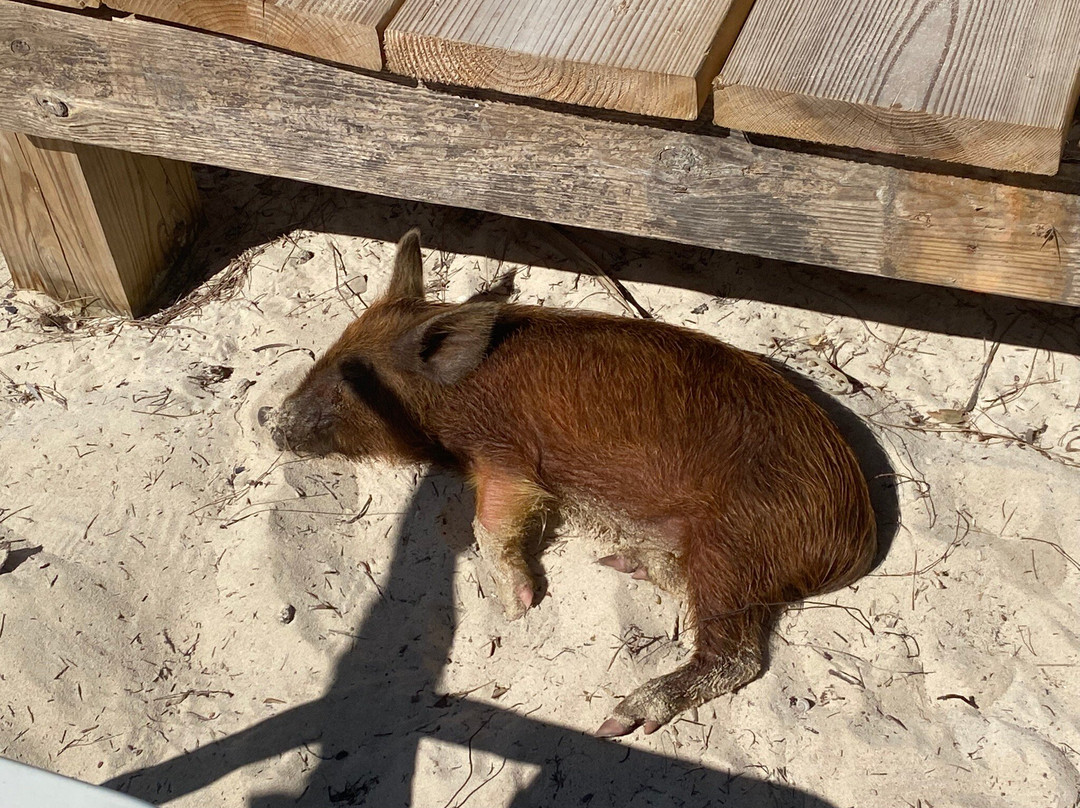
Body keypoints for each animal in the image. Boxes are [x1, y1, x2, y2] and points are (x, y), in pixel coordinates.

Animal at [267, 229, 877, 737]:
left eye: (349, 380)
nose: (272, 424)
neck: (454, 398)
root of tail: (851, 544)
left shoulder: (506, 456)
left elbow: (488, 525)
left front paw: (517, 609)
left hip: (735, 543)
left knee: (737, 655)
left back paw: (617, 719)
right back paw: (619, 564)